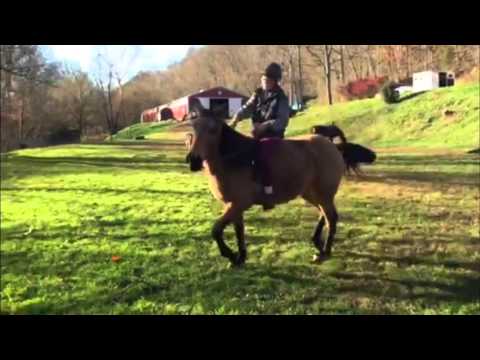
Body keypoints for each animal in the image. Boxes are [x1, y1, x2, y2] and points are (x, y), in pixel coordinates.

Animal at [184, 105, 368, 266]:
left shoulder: (239, 204)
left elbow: (216, 230)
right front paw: (240, 258)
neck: (235, 159)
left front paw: (229, 254)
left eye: (213, 130)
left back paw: (324, 252)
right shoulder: (233, 206)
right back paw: (317, 242)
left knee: (331, 217)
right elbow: (238, 231)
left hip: (323, 193)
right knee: (323, 214)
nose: (194, 160)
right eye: (194, 128)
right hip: (312, 193)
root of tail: (333, 147)